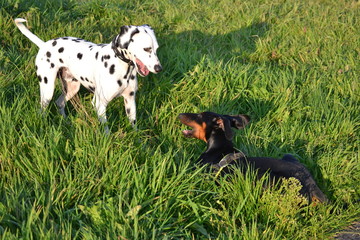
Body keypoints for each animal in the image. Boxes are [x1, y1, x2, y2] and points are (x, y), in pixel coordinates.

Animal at [14, 18, 162, 131]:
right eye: (147, 49)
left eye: (156, 49)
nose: (159, 68)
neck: (121, 66)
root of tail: (44, 44)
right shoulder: (100, 103)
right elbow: (105, 129)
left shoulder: (130, 101)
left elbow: (134, 126)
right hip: (47, 90)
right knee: (43, 109)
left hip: (72, 88)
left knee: (59, 103)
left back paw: (66, 122)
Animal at [179, 111, 328, 203]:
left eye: (199, 116)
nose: (180, 114)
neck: (218, 146)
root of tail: (310, 183)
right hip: (289, 156)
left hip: (266, 178)